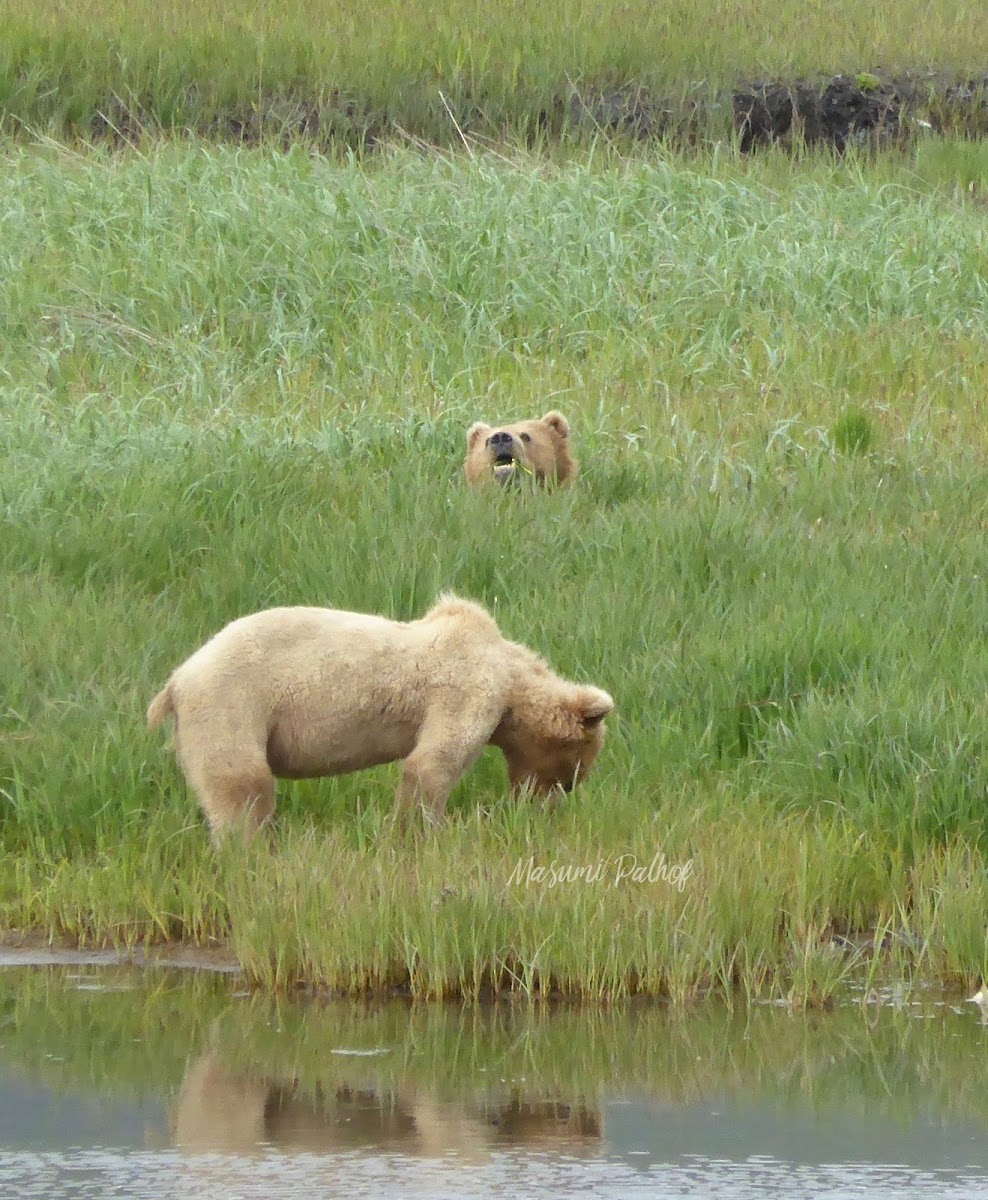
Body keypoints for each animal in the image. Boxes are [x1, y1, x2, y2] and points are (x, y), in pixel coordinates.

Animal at [147, 595, 614, 840]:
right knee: (242, 783)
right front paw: (424, 827)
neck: (512, 680)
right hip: (234, 702)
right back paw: (249, 841)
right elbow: (433, 762)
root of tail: (176, 680)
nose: (552, 802)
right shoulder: (467, 688)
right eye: (576, 771)